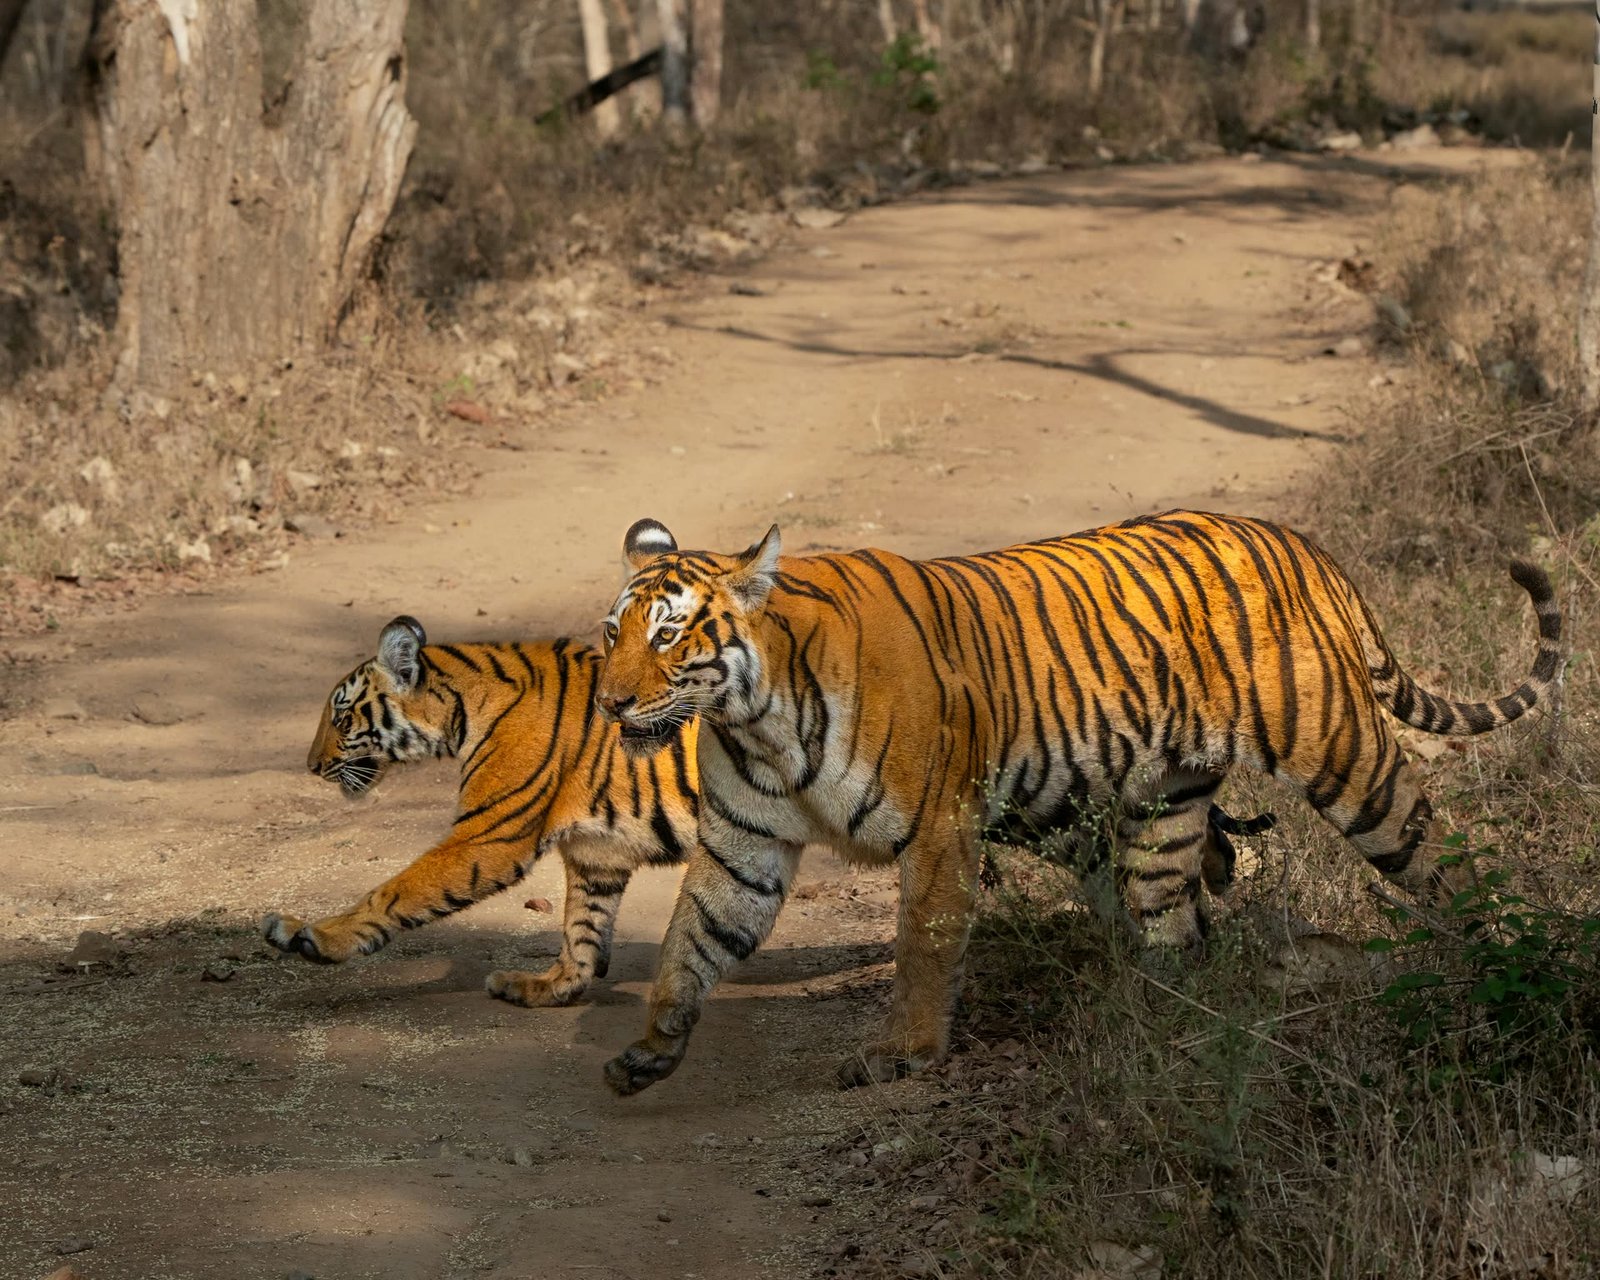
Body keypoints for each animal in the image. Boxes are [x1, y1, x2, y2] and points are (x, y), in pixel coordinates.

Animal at [260, 615, 699, 1008]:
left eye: (341, 717)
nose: (312, 766)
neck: (461, 711)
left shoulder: (487, 836)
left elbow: (395, 890)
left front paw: (314, 937)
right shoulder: (598, 853)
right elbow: (583, 926)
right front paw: (548, 988)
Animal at [591, 510, 1563, 1094]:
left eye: (667, 636)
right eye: (612, 634)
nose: (609, 702)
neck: (756, 717)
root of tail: (1299, 542)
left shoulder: (939, 828)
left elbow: (923, 947)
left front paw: (904, 1053)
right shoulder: (742, 845)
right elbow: (695, 937)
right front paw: (653, 1046)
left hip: (1347, 761)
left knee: (1440, 856)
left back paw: (1504, 969)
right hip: (1166, 805)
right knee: (1176, 921)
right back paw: (1158, 1016)